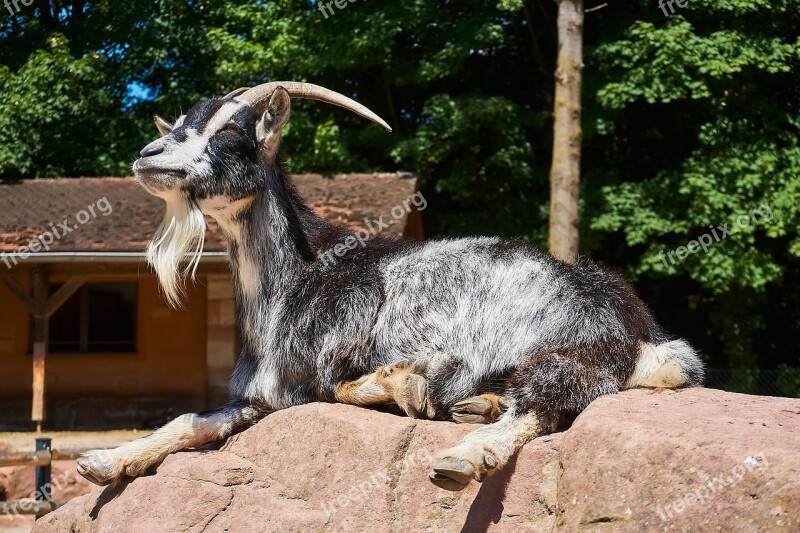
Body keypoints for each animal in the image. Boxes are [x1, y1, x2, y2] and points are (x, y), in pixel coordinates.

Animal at [73, 81, 700, 492]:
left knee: (547, 402)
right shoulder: (262, 394)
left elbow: (343, 388)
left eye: (230, 129)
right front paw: (106, 461)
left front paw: (406, 383)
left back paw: (464, 452)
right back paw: (478, 404)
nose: (148, 156)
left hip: (568, 346)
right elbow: (191, 420)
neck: (296, 276)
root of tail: (640, 326)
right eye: (178, 125)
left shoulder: (312, 372)